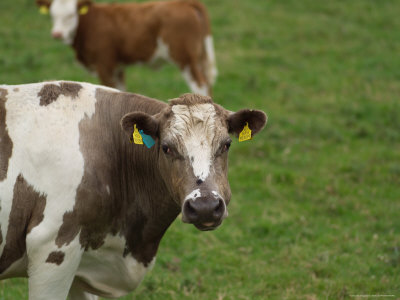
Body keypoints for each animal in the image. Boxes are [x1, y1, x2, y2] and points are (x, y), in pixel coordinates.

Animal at [36, 0, 219, 95]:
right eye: (52, 16)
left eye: (71, 15)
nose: (57, 34)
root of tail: (184, 3)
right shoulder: (118, 67)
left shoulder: (104, 66)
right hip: (199, 57)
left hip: (185, 58)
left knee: (200, 85)